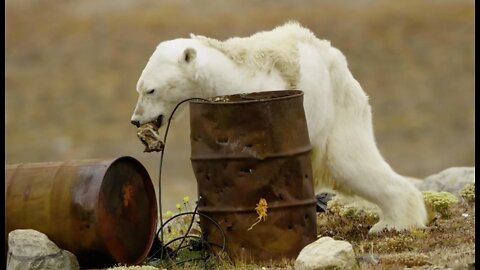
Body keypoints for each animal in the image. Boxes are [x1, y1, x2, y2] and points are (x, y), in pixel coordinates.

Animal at [129, 21, 426, 233]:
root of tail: (338, 62)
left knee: (351, 163)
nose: (136, 120)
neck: (227, 76)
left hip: (336, 113)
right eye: (139, 88)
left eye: (151, 90)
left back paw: (394, 223)